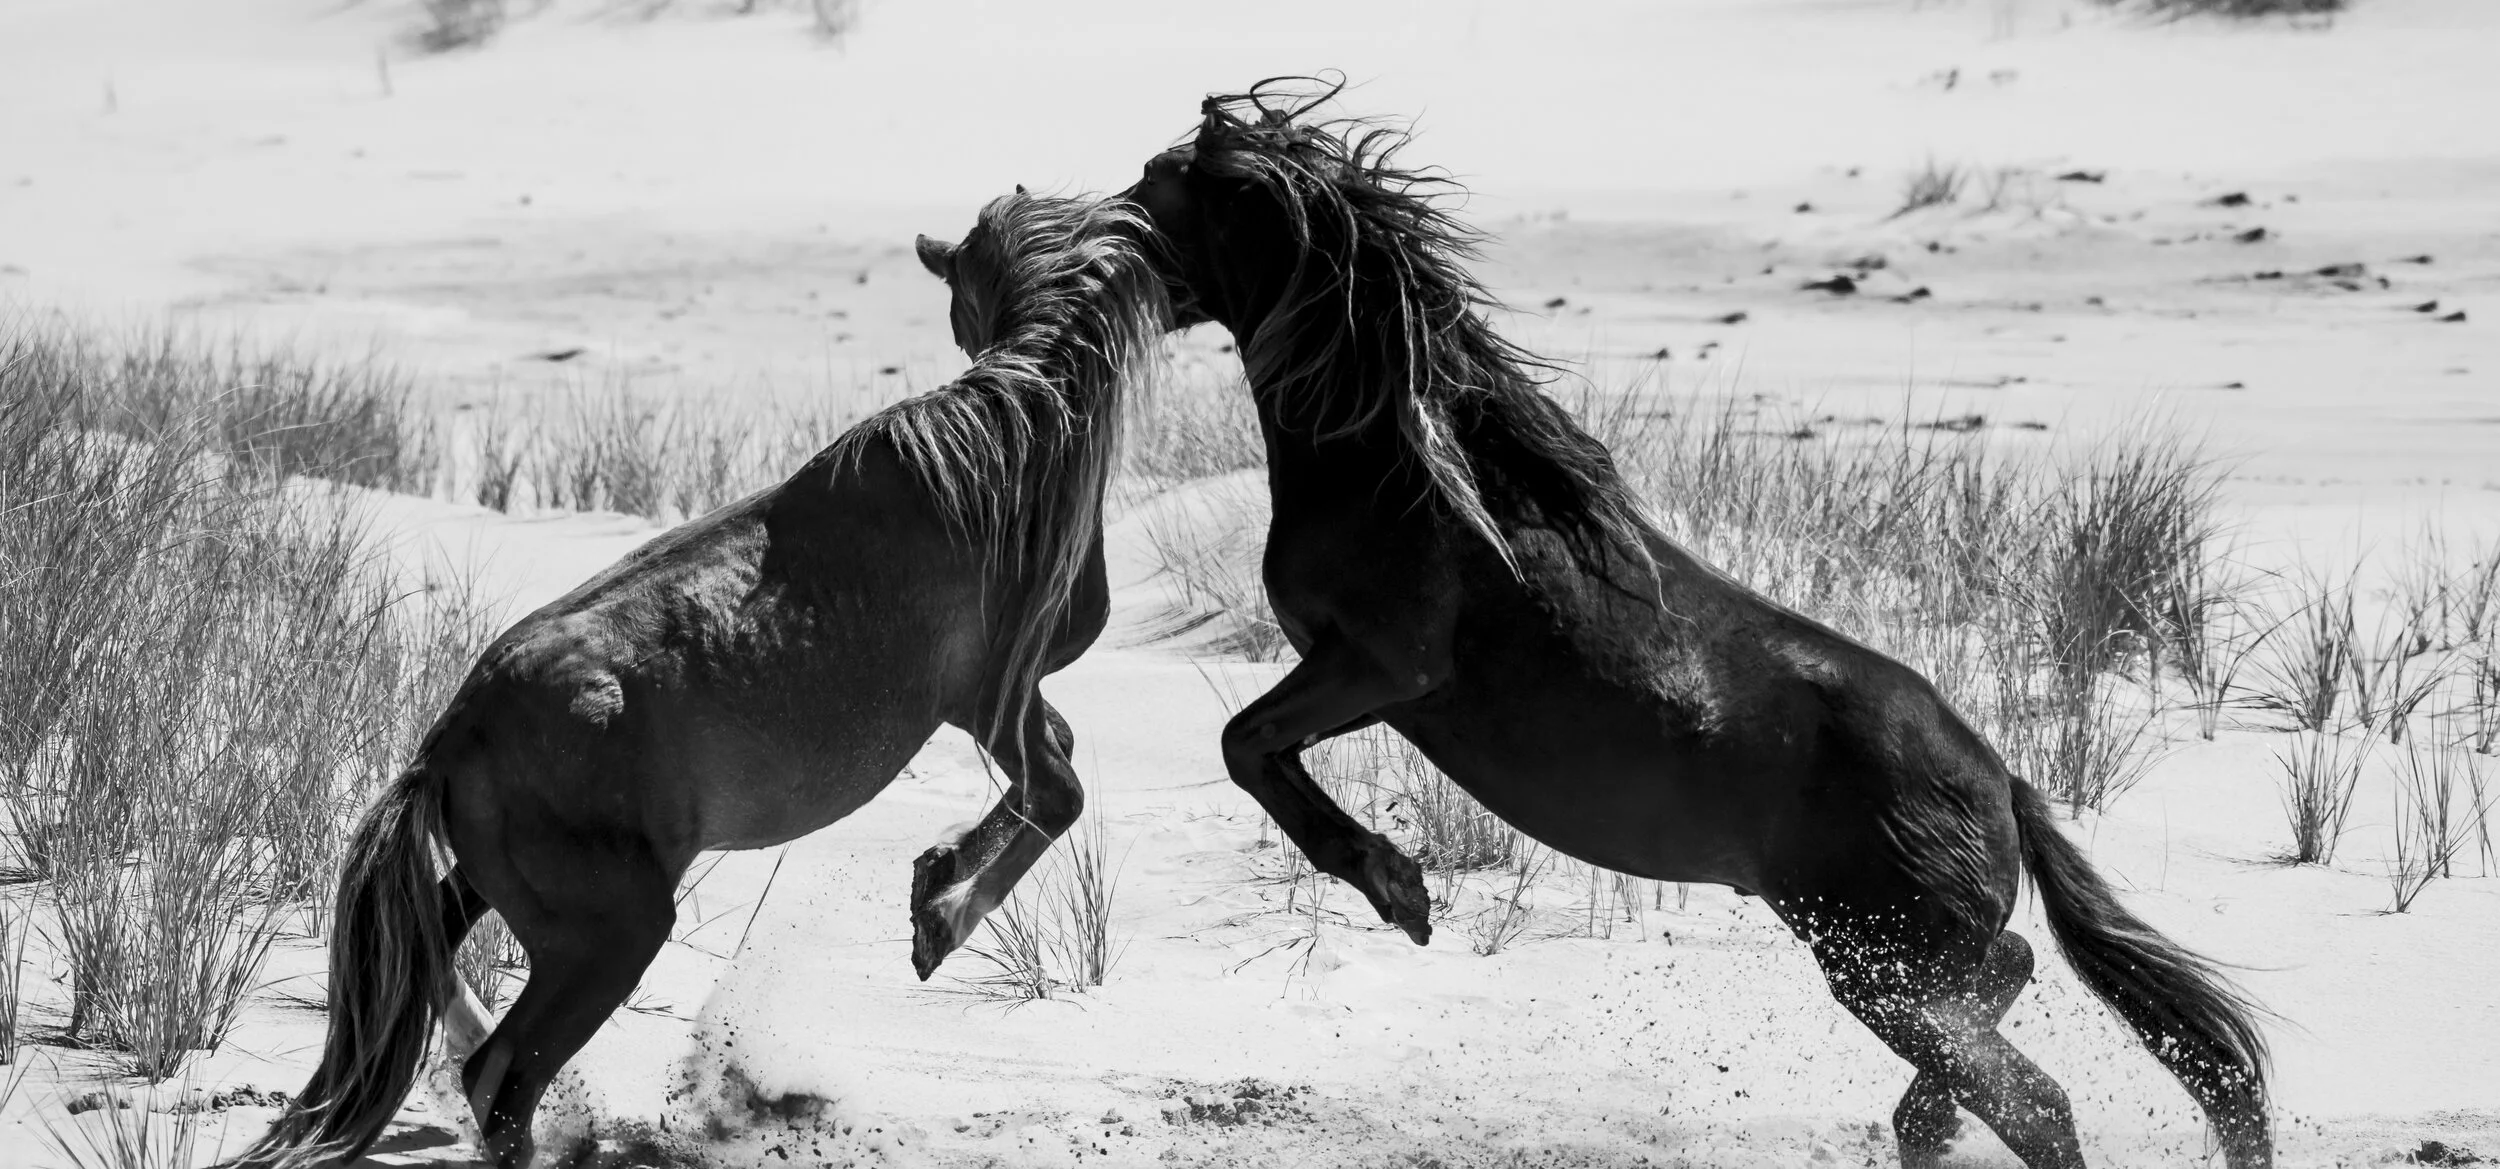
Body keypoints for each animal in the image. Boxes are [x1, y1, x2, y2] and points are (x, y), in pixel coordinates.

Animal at [230, 189, 1168, 1169]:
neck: (996, 455)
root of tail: (450, 741)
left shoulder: (1004, 702)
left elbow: (1051, 767)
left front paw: (933, 877)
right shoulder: (990, 698)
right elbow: (1057, 790)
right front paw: (938, 917)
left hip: (511, 894)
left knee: (436, 960)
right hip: (612, 937)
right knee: (503, 1077)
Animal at [1114, 82, 2274, 1169]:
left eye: (1157, 182)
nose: (1095, 233)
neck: (1399, 462)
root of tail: (2001, 784)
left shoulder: (1380, 664)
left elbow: (1245, 743)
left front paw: (1399, 889)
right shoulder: (1365, 685)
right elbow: (1263, 749)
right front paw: (1398, 883)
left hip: (1877, 961)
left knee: (2033, 1095)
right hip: (1900, 962)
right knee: (2009, 986)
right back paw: (1928, 1115)